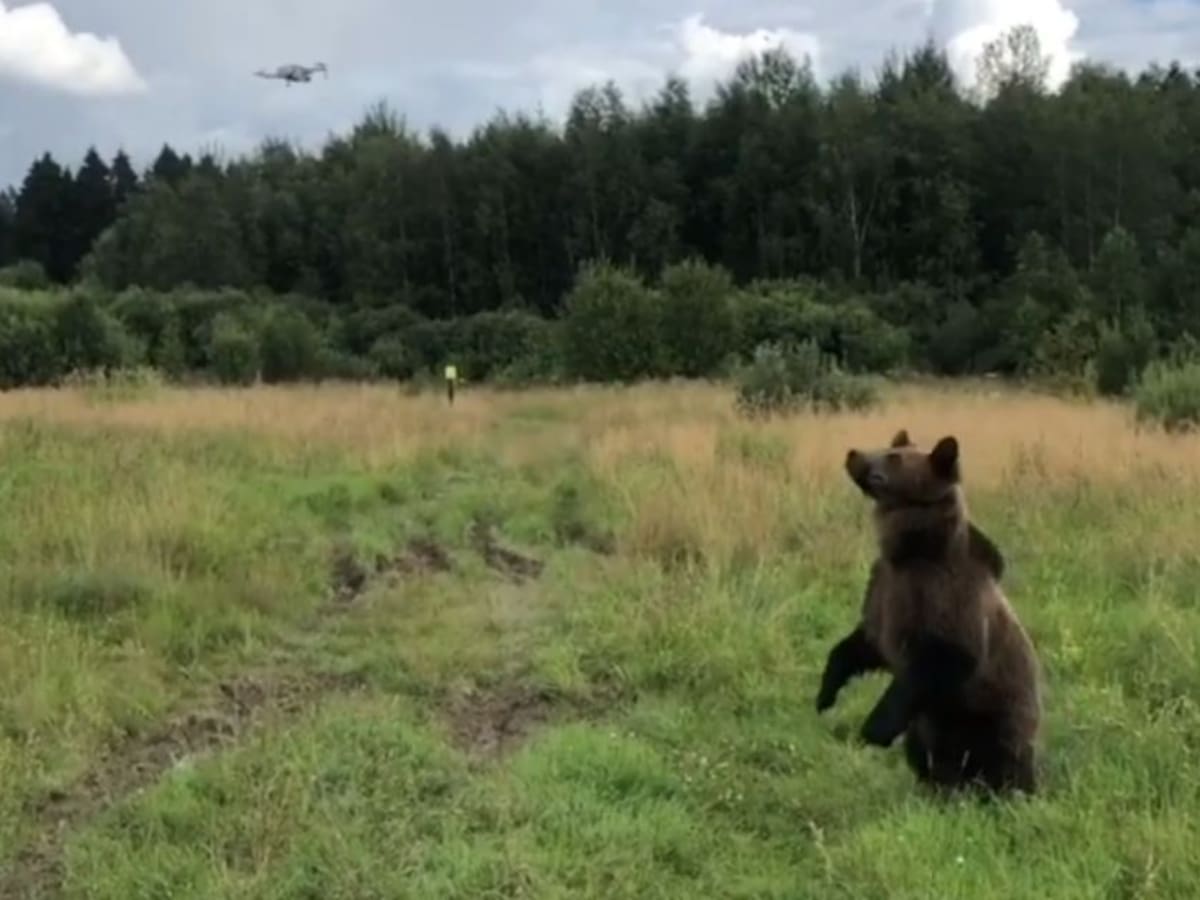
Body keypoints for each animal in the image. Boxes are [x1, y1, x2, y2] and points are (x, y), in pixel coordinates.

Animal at [815, 429, 1042, 796]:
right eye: (889, 446)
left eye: (893, 456)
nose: (853, 453)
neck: (911, 551)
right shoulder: (884, 589)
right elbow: (863, 644)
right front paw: (825, 694)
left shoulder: (943, 597)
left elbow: (942, 658)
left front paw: (871, 731)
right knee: (927, 753)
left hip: (998, 717)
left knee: (1002, 757)